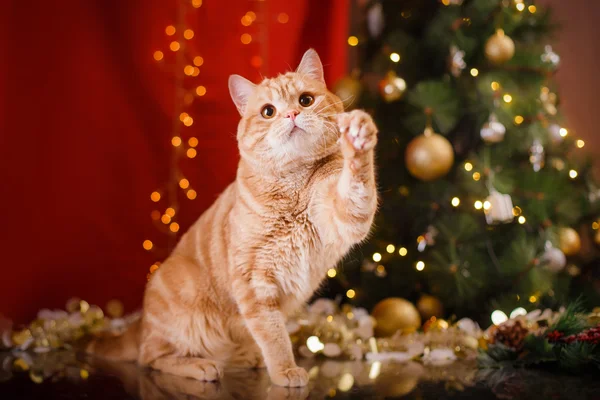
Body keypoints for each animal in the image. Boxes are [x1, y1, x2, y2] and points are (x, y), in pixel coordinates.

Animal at [88, 48, 380, 386]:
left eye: (305, 100)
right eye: (268, 111)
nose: (291, 115)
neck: (292, 187)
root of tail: (140, 322)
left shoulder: (345, 216)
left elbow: (357, 181)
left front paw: (358, 141)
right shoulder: (254, 280)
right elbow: (273, 335)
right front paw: (284, 369)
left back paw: (246, 358)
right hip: (185, 304)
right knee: (151, 358)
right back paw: (200, 366)